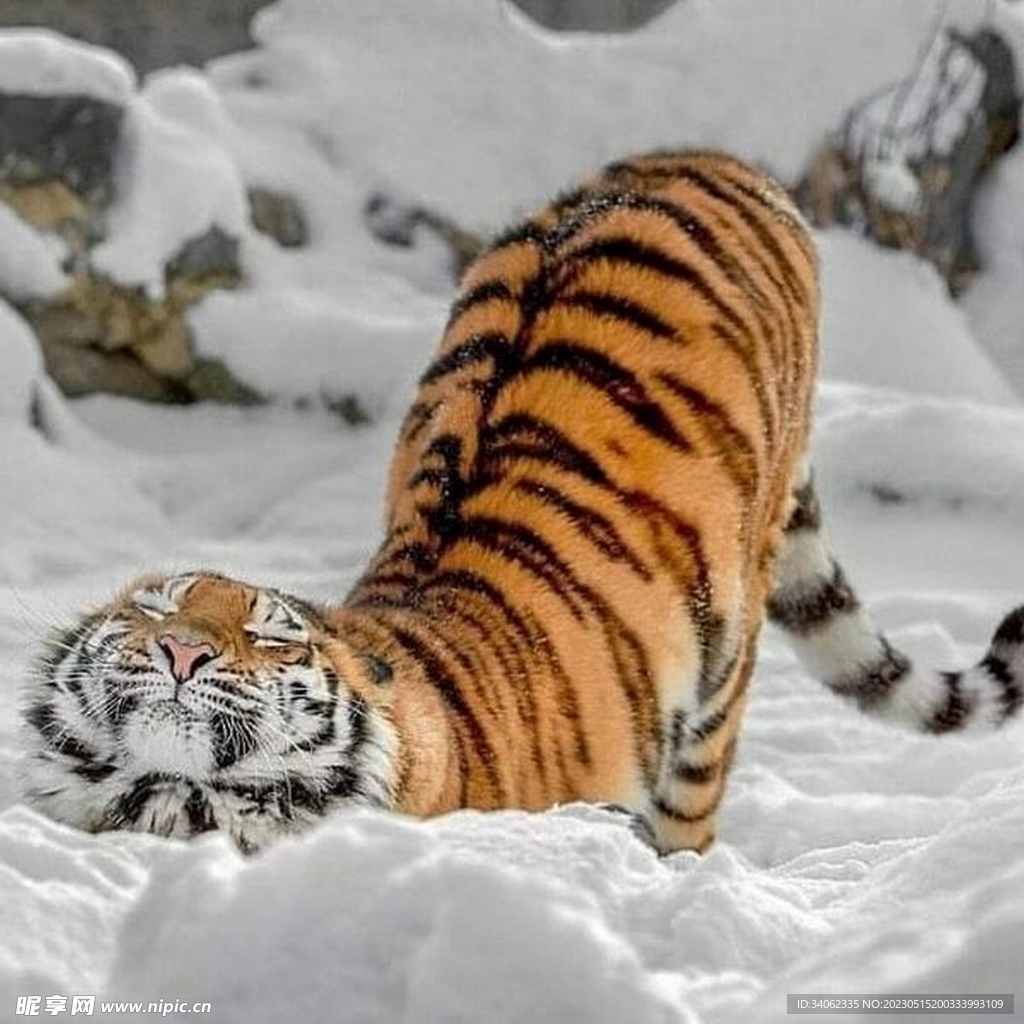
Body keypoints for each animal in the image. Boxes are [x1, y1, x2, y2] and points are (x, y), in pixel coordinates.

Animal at [21, 150, 1024, 856]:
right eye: (155, 609)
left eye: (271, 637)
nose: (182, 650)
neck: (179, 800)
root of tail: (698, 156)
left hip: (722, 664)